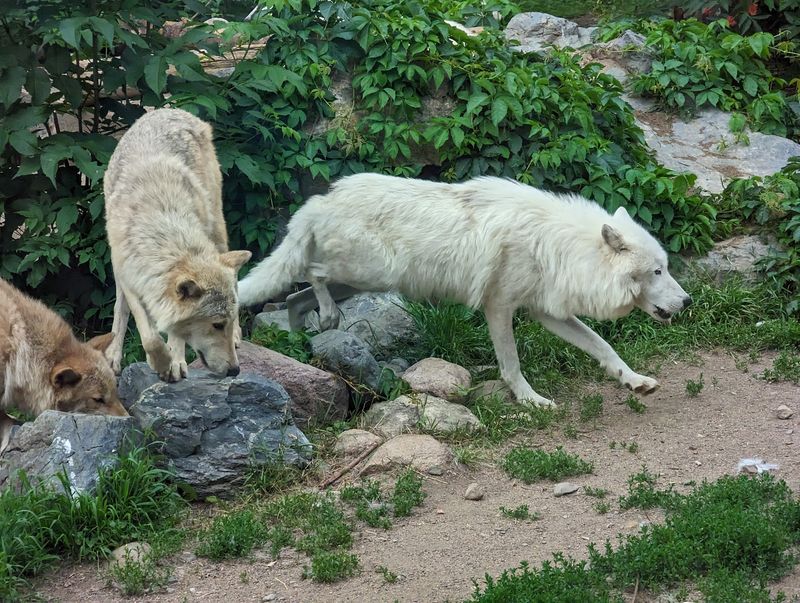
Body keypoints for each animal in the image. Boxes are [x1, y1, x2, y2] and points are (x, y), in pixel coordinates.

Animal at [104, 108, 251, 382]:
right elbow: (149, 335)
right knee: (120, 309)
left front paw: (175, 361)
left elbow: (173, 328)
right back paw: (112, 357)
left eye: (225, 323)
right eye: (216, 325)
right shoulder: (131, 276)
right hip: (116, 268)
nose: (235, 371)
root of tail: (171, 109)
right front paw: (162, 362)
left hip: (218, 229)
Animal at [238, 173, 692, 407]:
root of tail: (320, 200)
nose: (688, 301)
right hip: (370, 274)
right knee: (311, 273)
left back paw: (306, 337)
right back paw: (325, 317)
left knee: (295, 298)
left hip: (361, 280)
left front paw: (634, 380)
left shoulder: (548, 312)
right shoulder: (499, 307)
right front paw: (530, 402)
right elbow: (511, 364)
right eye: (656, 271)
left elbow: (603, 347)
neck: (560, 247)